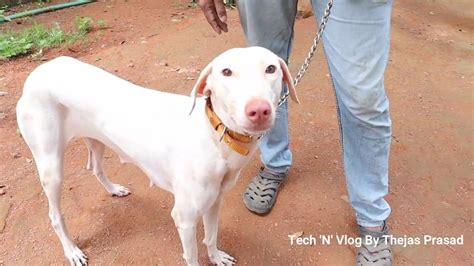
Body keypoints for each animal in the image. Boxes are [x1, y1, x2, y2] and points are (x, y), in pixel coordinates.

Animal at [18, 46, 302, 264]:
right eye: (226, 72)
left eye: (271, 69)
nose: (259, 110)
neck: (213, 136)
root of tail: (39, 71)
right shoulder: (184, 218)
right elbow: (192, 257)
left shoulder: (214, 202)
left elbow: (211, 237)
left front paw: (216, 257)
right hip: (51, 166)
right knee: (55, 216)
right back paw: (72, 251)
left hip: (97, 139)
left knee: (96, 167)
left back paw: (114, 189)